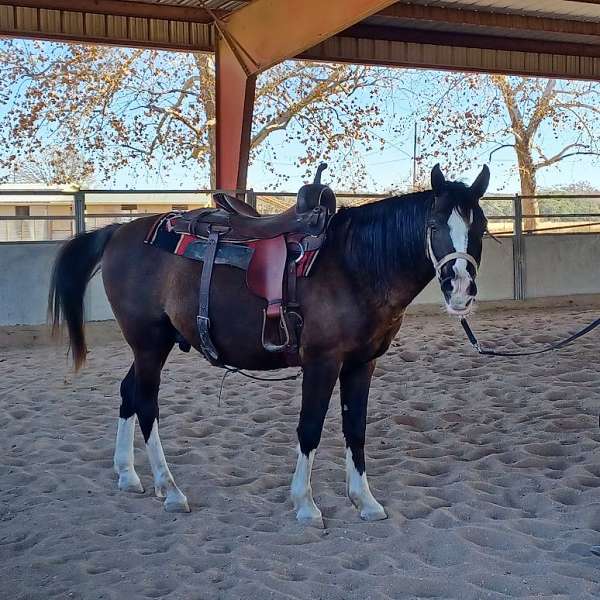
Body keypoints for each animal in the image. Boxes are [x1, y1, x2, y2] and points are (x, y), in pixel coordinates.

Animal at [49, 164, 490, 524]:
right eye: (435, 225)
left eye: (481, 226)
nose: (461, 289)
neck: (355, 264)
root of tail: (118, 231)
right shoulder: (322, 362)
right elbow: (310, 428)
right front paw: (305, 505)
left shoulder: (362, 363)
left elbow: (356, 428)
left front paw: (365, 501)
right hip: (148, 343)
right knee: (145, 404)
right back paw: (170, 489)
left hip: (153, 345)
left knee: (128, 393)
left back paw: (128, 474)